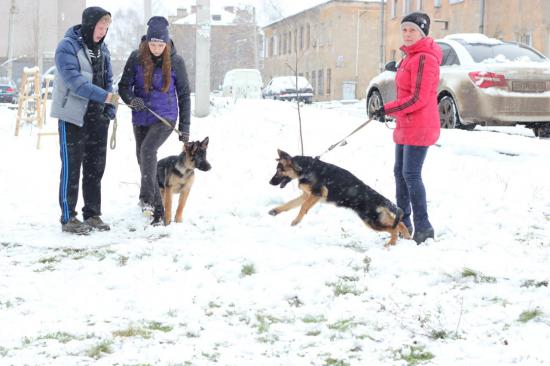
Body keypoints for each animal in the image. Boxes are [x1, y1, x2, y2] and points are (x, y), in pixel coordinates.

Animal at [270, 149, 412, 246]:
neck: (305, 168)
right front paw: (275, 210)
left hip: (371, 221)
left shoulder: (317, 193)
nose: (270, 183)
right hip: (376, 218)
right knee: (399, 223)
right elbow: (290, 204)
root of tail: (379, 198)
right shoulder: (306, 195)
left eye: (279, 170)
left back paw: (390, 245)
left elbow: (303, 207)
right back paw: (407, 238)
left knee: (393, 229)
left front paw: (296, 220)